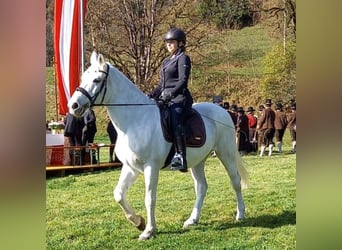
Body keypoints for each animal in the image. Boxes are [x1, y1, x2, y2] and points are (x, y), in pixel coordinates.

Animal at [67, 51, 248, 240]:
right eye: (82, 78)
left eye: (96, 80)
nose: (73, 106)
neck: (134, 121)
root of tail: (223, 111)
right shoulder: (130, 167)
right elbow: (118, 194)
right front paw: (138, 222)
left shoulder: (150, 166)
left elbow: (149, 199)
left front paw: (148, 230)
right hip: (198, 161)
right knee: (201, 187)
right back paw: (192, 220)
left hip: (226, 153)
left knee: (235, 181)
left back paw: (240, 214)